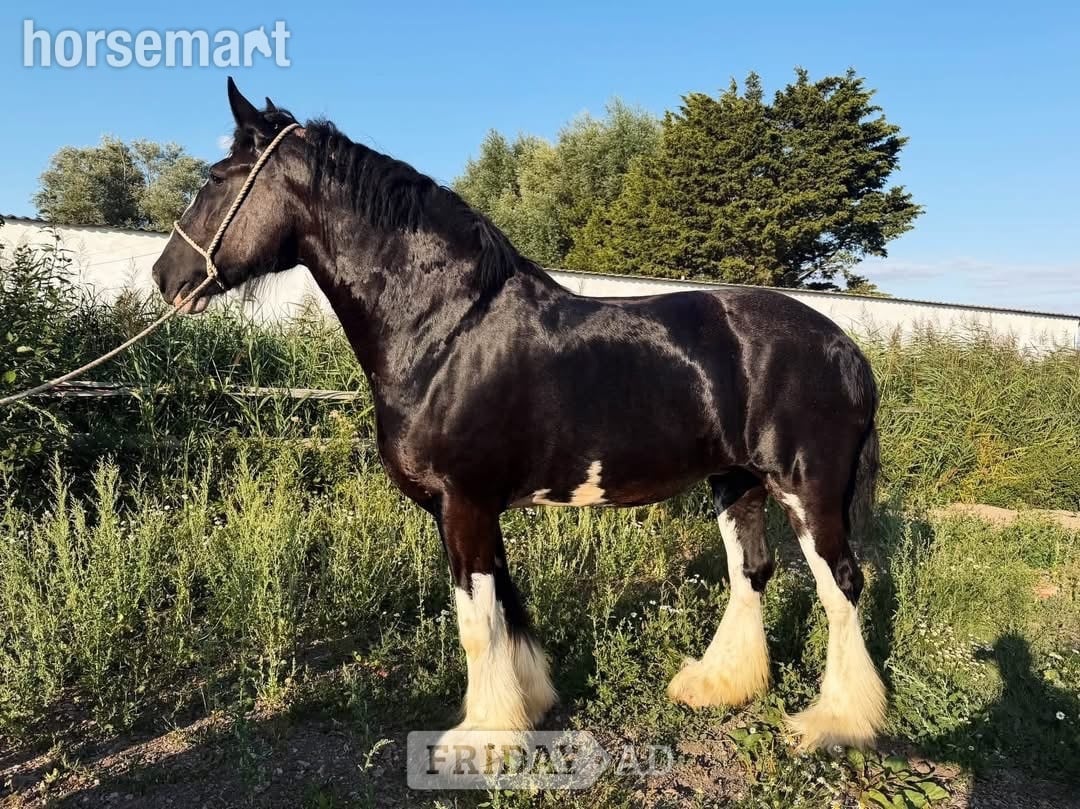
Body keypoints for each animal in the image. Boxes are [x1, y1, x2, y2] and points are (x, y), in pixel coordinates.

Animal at [151, 78, 886, 759]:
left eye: (215, 178)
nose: (165, 276)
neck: (443, 328)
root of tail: (846, 349)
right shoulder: (470, 507)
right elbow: (505, 604)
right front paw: (525, 705)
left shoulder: (465, 502)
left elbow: (477, 624)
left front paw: (479, 740)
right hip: (736, 482)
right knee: (750, 571)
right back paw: (717, 685)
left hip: (807, 489)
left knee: (842, 585)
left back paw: (837, 721)